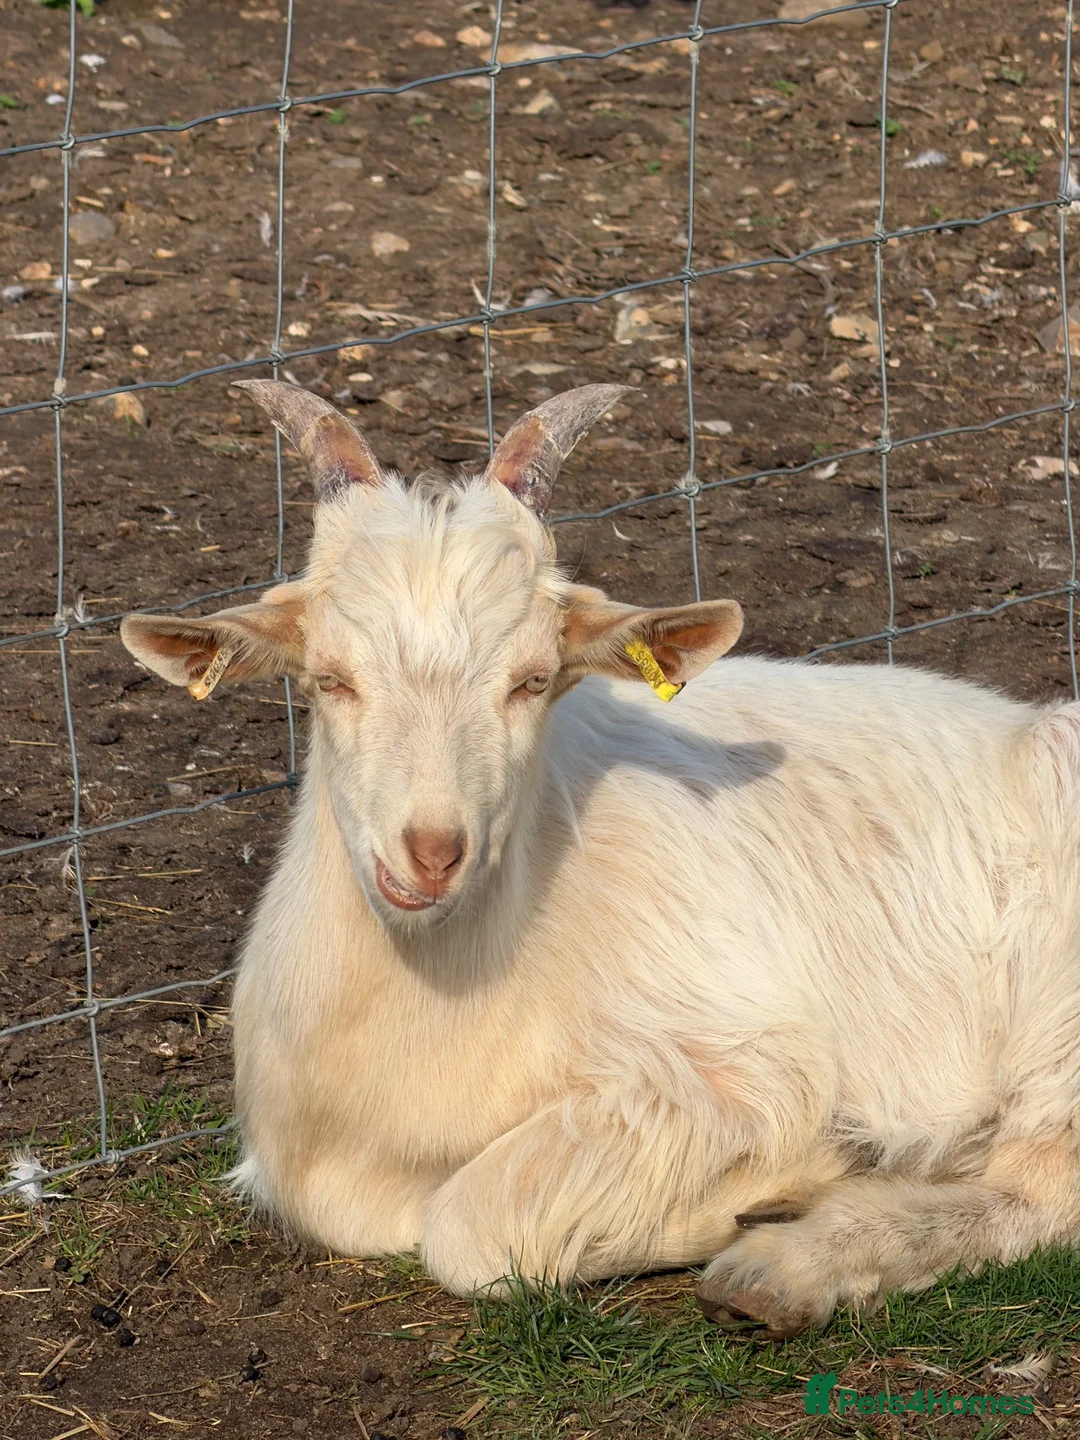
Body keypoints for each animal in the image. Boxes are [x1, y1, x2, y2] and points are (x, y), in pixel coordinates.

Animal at [122, 381, 1080, 1337]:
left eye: (532, 680)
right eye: (331, 678)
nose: (431, 853)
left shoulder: (741, 1063)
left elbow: (468, 1228)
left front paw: (808, 1171)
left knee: (1042, 1189)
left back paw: (786, 1266)